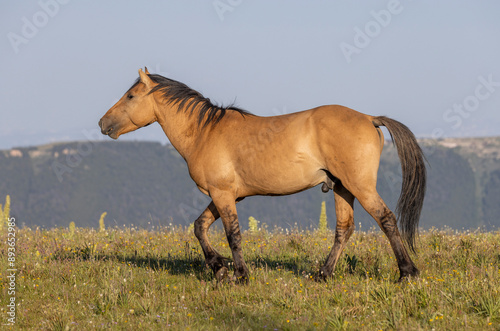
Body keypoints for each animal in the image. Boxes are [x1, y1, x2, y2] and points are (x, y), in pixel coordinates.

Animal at [100, 68, 426, 284]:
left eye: (130, 96)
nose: (103, 123)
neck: (205, 132)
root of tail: (370, 118)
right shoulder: (227, 195)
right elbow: (199, 226)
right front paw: (218, 267)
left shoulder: (223, 194)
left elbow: (232, 234)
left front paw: (239, 274)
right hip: (342, 188)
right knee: (344, 229)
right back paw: (323, 274)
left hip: (360, 186)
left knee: (386, 219)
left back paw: (407, 273)